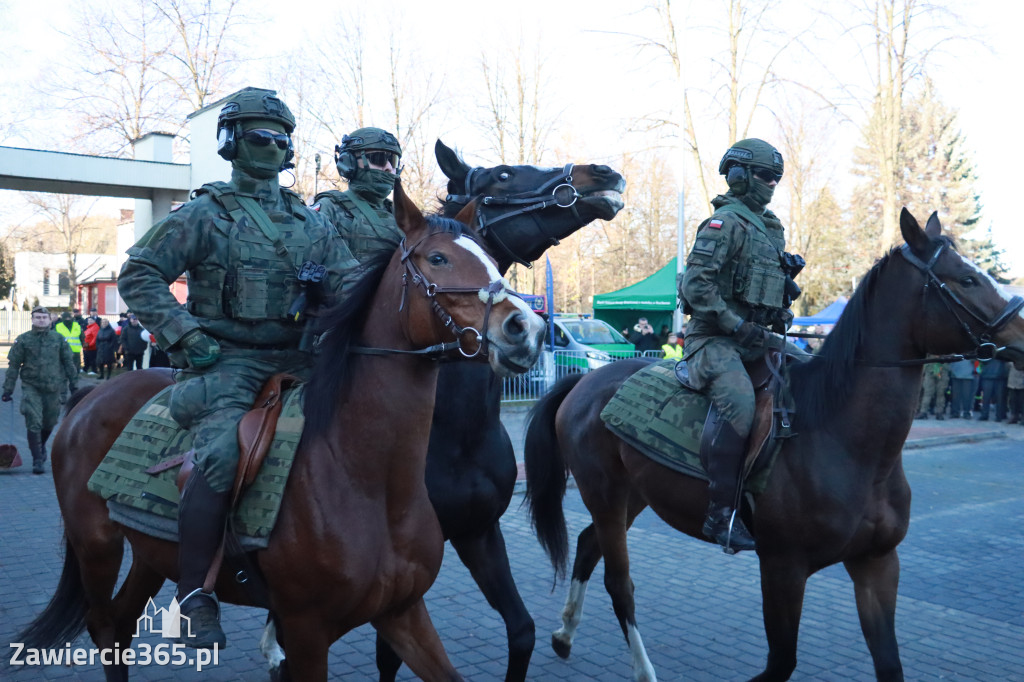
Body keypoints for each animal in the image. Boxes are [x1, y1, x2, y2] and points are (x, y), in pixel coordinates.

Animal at [16, 182, 548, 679]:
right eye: (438, 258)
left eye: (491, 259)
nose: (526, 328)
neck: (366, 476)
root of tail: (92, 395)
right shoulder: (306, 629)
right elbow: (141, 268)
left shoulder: (404, 612)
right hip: (97, 546)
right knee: (105, 624)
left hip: (151, 554)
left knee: (122, 625)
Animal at [368, 139, 622, 679]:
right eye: (503, 174)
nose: (603, 172)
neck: (451, 434)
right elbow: (389, 655)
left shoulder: (479, 533)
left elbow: (522, 630)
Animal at [524, 208, 1024, 679]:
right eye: (968, 279)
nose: (1021, 333)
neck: (849, 443)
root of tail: (585, 382)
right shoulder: (783, 568)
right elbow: (781, 662)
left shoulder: (877, 564)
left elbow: (889, 664)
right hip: (606, 495)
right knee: (619, 582)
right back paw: (641, 669)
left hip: (634, 496)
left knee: (588, 546)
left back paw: (564, 635)